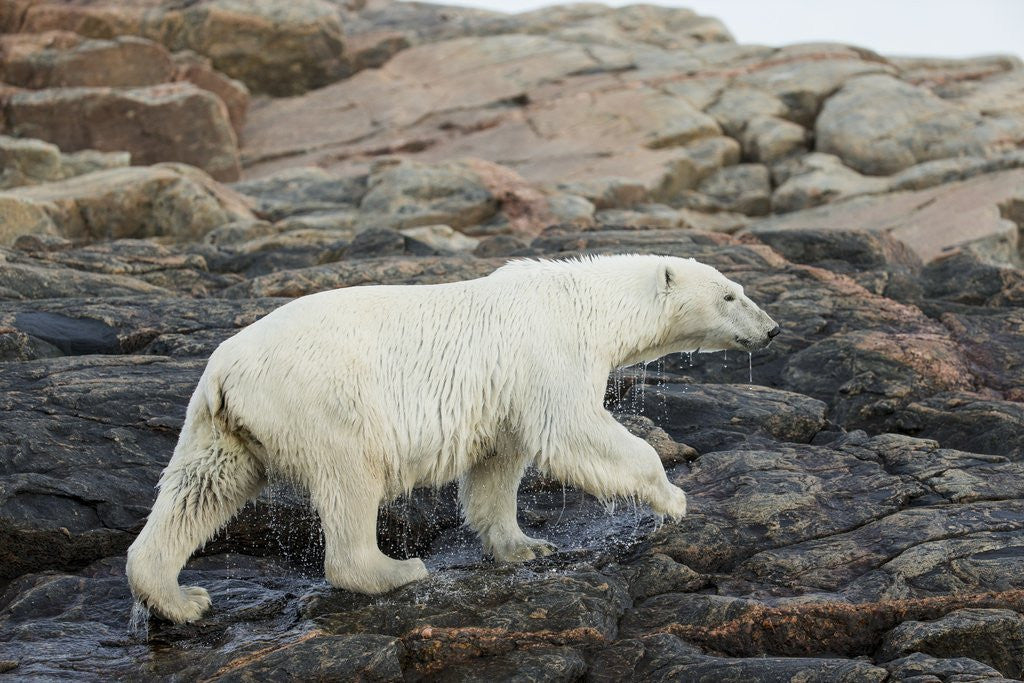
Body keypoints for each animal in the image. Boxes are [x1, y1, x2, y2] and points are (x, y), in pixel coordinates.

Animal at [126, 254, 779, 623]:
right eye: (729, 293)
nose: (772, 330)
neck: (585, 303)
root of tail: (224, 371)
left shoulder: (504, 393)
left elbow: (498, 465)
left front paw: (525, 547)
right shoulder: (548, 352)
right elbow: (574, 429)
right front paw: (673, 499)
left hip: (224, 425)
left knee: (200, 489)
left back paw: (180, 599)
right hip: (325, 403)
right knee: (350, 480)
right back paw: (396, 570)